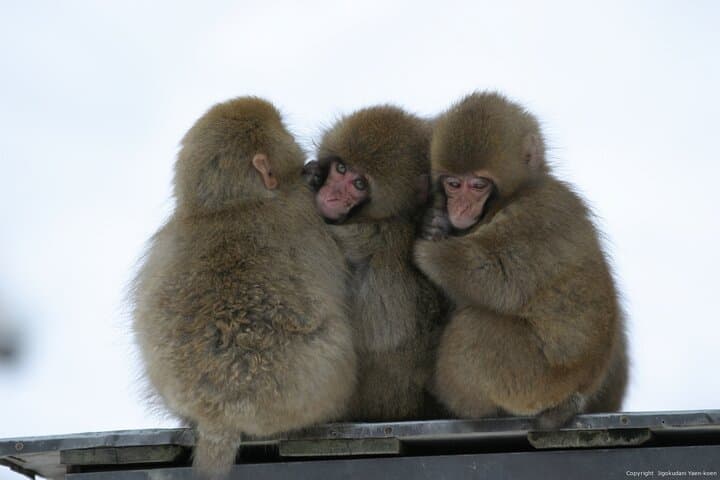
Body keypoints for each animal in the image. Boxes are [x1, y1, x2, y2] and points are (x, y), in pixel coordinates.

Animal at [414, 91, 628, 428]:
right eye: (453, 183)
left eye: (478, 185)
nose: (459, 208)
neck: (518, 193)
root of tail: (580, 389)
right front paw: (434, 224)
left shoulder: (535, 218)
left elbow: (495, 276)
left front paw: (426, 249)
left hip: (531, 380)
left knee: (474, 328)